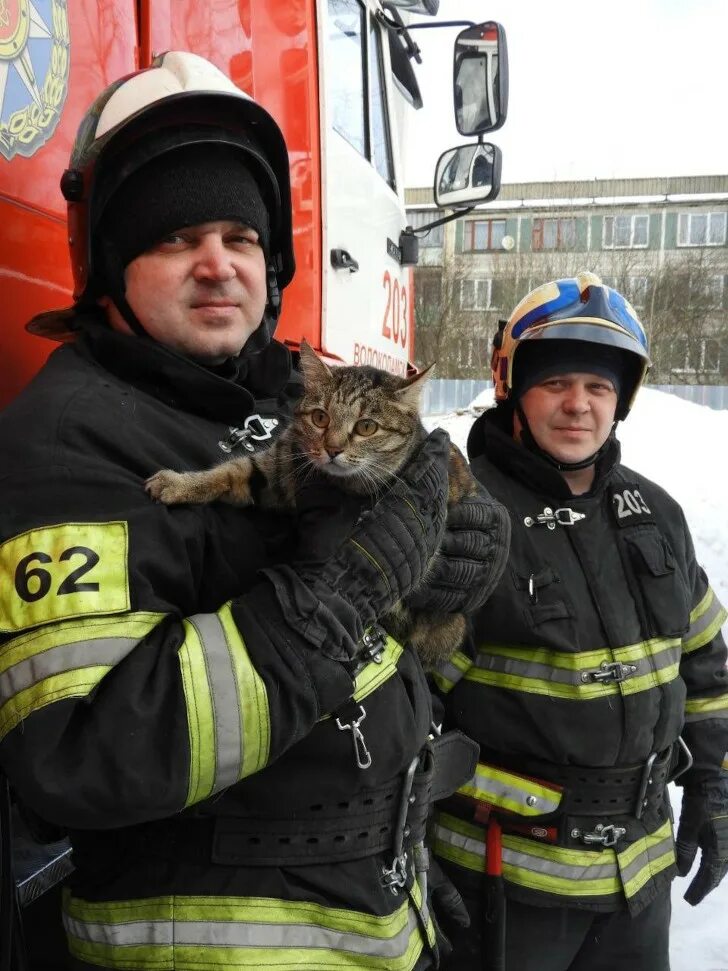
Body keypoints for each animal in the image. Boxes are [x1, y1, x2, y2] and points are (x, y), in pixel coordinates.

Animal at [145, 340, 480, 668]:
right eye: (320, 418)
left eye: (366, 427)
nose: (332, 449)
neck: (337, 484)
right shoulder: (273, 469)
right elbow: (228, 471)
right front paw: (179, 484)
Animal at [432, 274, 728, 971]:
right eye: (556, 385)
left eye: (593, 387)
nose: (577, 412)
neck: (571, 489)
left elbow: (700, 652)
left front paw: (710, 813)